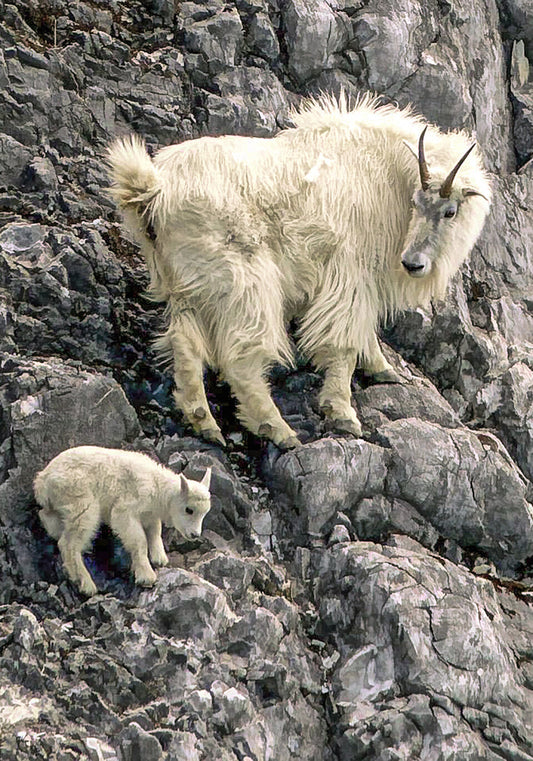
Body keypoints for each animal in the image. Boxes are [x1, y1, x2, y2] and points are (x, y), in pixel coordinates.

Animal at [107, 95, 490, 452]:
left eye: (450, 211)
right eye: (416, 202)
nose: (413, 263)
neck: (385, 174)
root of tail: (154, 190)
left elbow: (364, 330)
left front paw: (383, 368)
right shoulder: (350, 272)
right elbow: (344, 343)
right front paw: (342, 413)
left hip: (186, 287)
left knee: (184, 344)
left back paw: (205, 424)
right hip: (246, 281)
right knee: (240, 358)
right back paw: (277, 429)